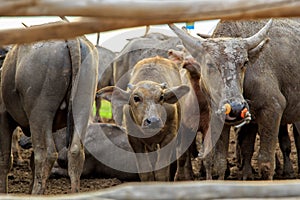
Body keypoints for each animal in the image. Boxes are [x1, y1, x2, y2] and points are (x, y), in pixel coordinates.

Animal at [0, 37, 98, 194]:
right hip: (82, 109)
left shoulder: (3, 117)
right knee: (76, 152)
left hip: (39, 115)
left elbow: (5, 160)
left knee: (46, 154)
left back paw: (36, 193)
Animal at [168, 19, 274, 180]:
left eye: (245, 63)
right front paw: (184, 176)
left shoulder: (208, 126)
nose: (187, 63)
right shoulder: (186, 127)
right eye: (208, 63)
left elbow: (209, 157)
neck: (199, 104)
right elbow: (185, 154)